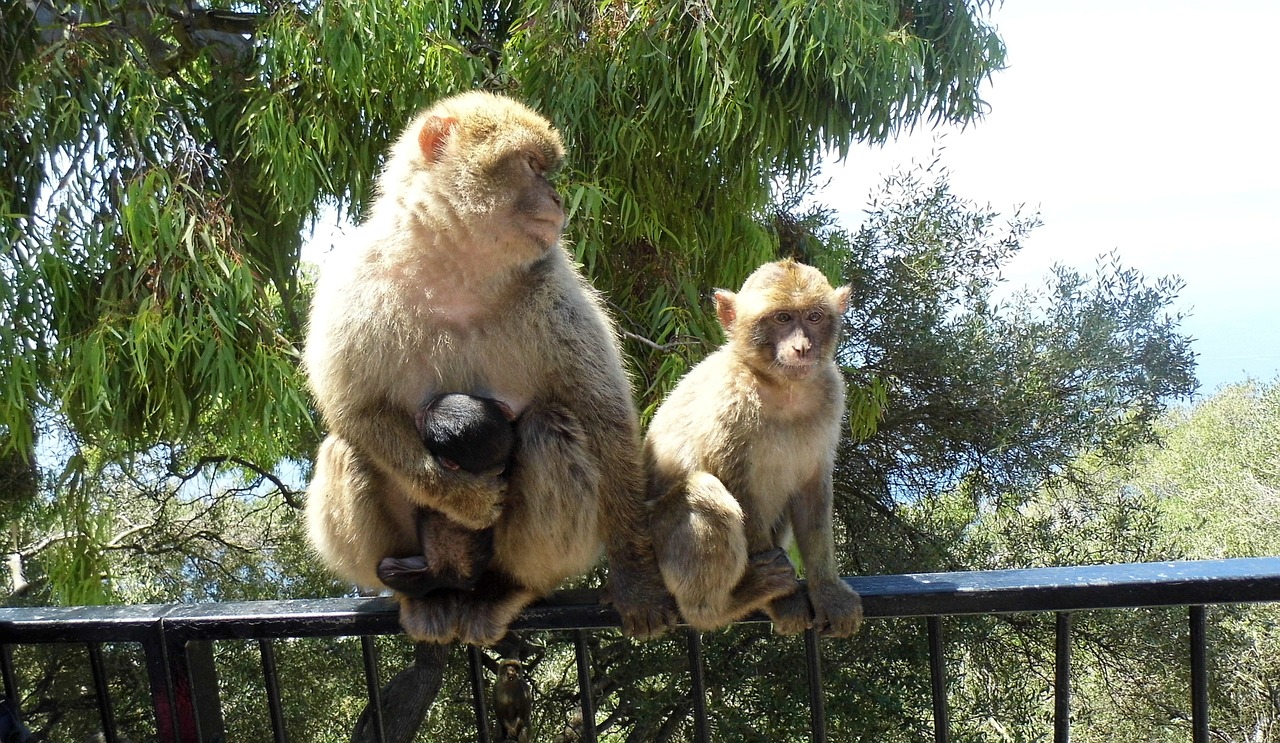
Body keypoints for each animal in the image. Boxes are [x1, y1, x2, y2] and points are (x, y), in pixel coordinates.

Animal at [650, 258, 860, 635]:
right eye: (782, 318)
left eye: (814, 317)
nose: (802, 347)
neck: (782, 388)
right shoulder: (730, 398)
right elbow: (735, 483)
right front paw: (785, 601)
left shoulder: (831, 393)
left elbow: (812, 491)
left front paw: (828, 590)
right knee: (704, 493)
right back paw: (726, 603)